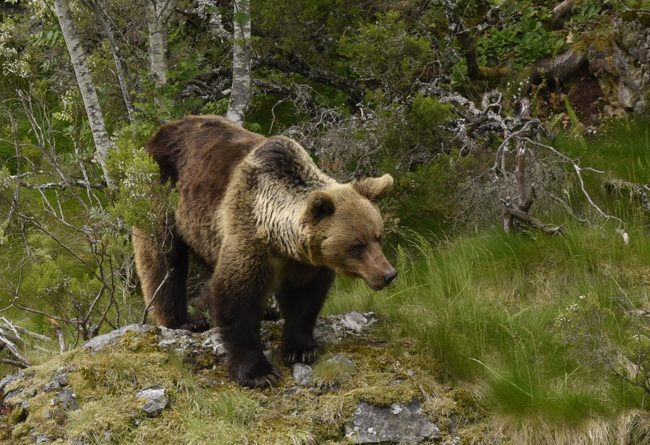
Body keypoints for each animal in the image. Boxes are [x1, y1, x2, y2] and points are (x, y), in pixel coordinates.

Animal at [132, 115, 397, 387]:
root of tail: (164, 129)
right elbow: (236, 297)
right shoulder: (248, 233)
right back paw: (183, 320)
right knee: (163, 257)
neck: (278, 237)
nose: (388, 274)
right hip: (162, 195)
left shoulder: (303, 262)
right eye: (357, 245)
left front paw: (300, 349)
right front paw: (259, 372)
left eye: (378, 236)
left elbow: (305, 298)